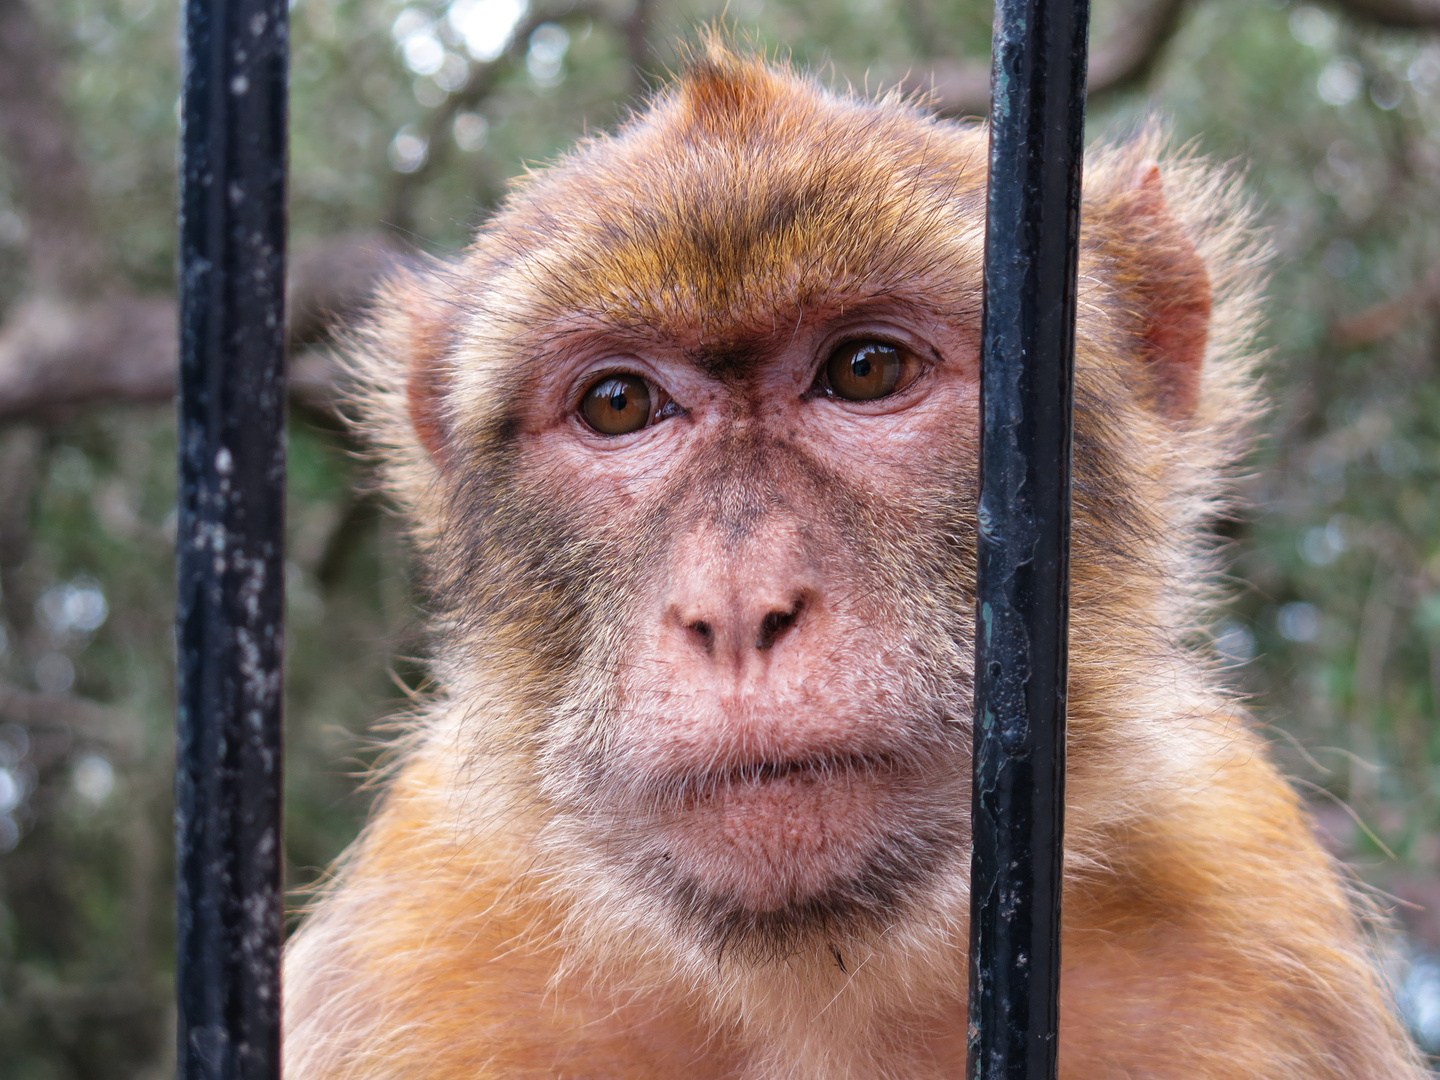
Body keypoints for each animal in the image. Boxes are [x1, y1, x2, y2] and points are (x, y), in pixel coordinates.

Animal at [280, 42, 1428, 1080]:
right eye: (619, 403)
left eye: (866, 369)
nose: (738, 608)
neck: (811, 992)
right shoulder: (412, 938)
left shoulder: (1253, 927)